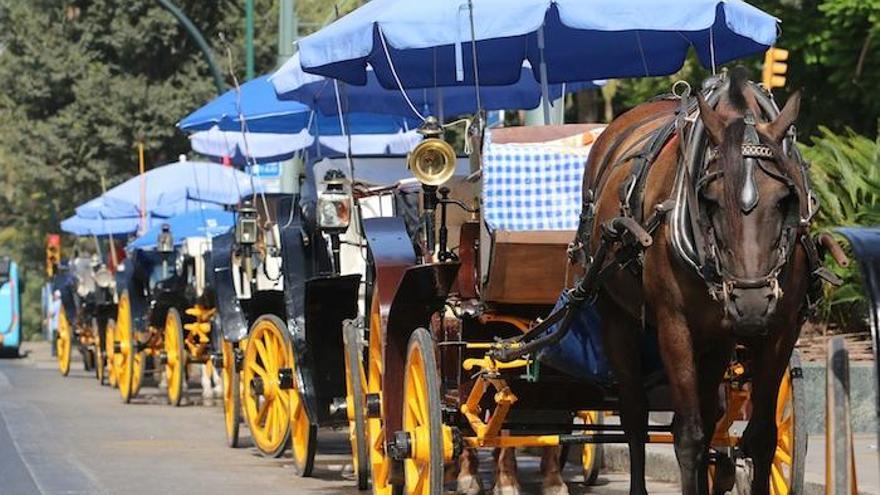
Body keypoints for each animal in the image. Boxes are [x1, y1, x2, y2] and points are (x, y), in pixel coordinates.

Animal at [576, 69, 820, 495]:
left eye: (784, 198)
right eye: (711, 200)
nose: (751, 304)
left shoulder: (781, 330)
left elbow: (761, 437)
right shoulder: (675, 326)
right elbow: (687, 435)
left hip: (718, 339)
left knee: (713, 414)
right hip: (617, 317)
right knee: (635, 415)